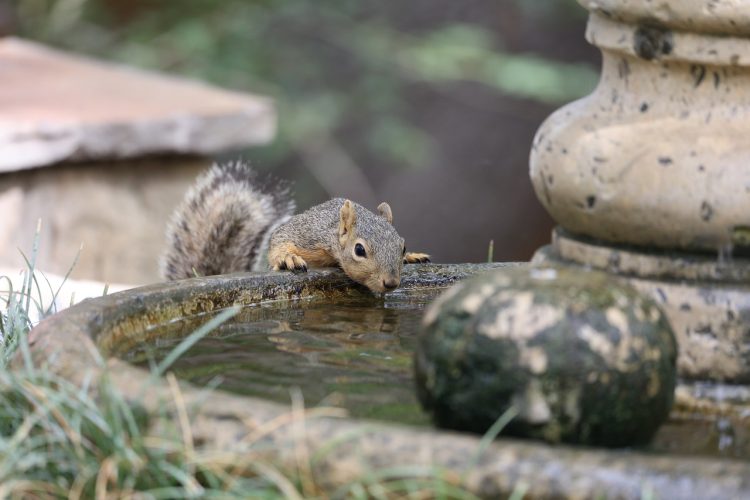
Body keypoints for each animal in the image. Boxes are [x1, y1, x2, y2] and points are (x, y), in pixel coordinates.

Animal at [161, 161, 430, 293]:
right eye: (359, 250)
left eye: (402, 247)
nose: (391, 283)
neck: (333, 235)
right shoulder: (310, 234)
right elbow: (280, 237)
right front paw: (287, 258)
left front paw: (414, 257)